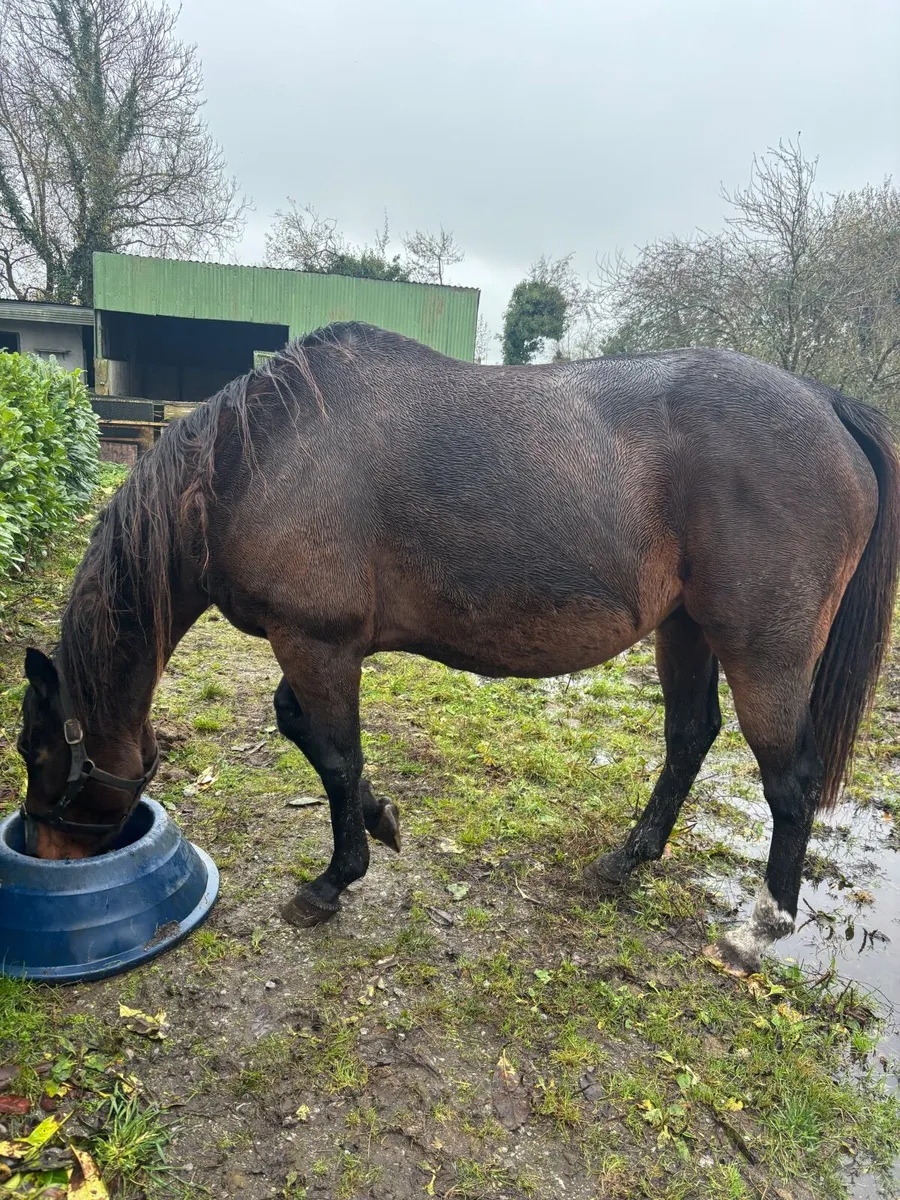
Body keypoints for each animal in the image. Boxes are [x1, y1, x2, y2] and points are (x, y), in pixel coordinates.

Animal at [17, 323, 899, 973]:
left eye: (36, 752)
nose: (46, 854)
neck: (255, 462)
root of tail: (827, 405)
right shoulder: (314, 647)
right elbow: (308, 735)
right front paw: (382, 821)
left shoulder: (315, 641)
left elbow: (333, 755)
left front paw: (333, 881)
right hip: (684, 630)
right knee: (689, 737)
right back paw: (626, 860)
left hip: (763, 651)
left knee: (790, 781)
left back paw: (758, 929)